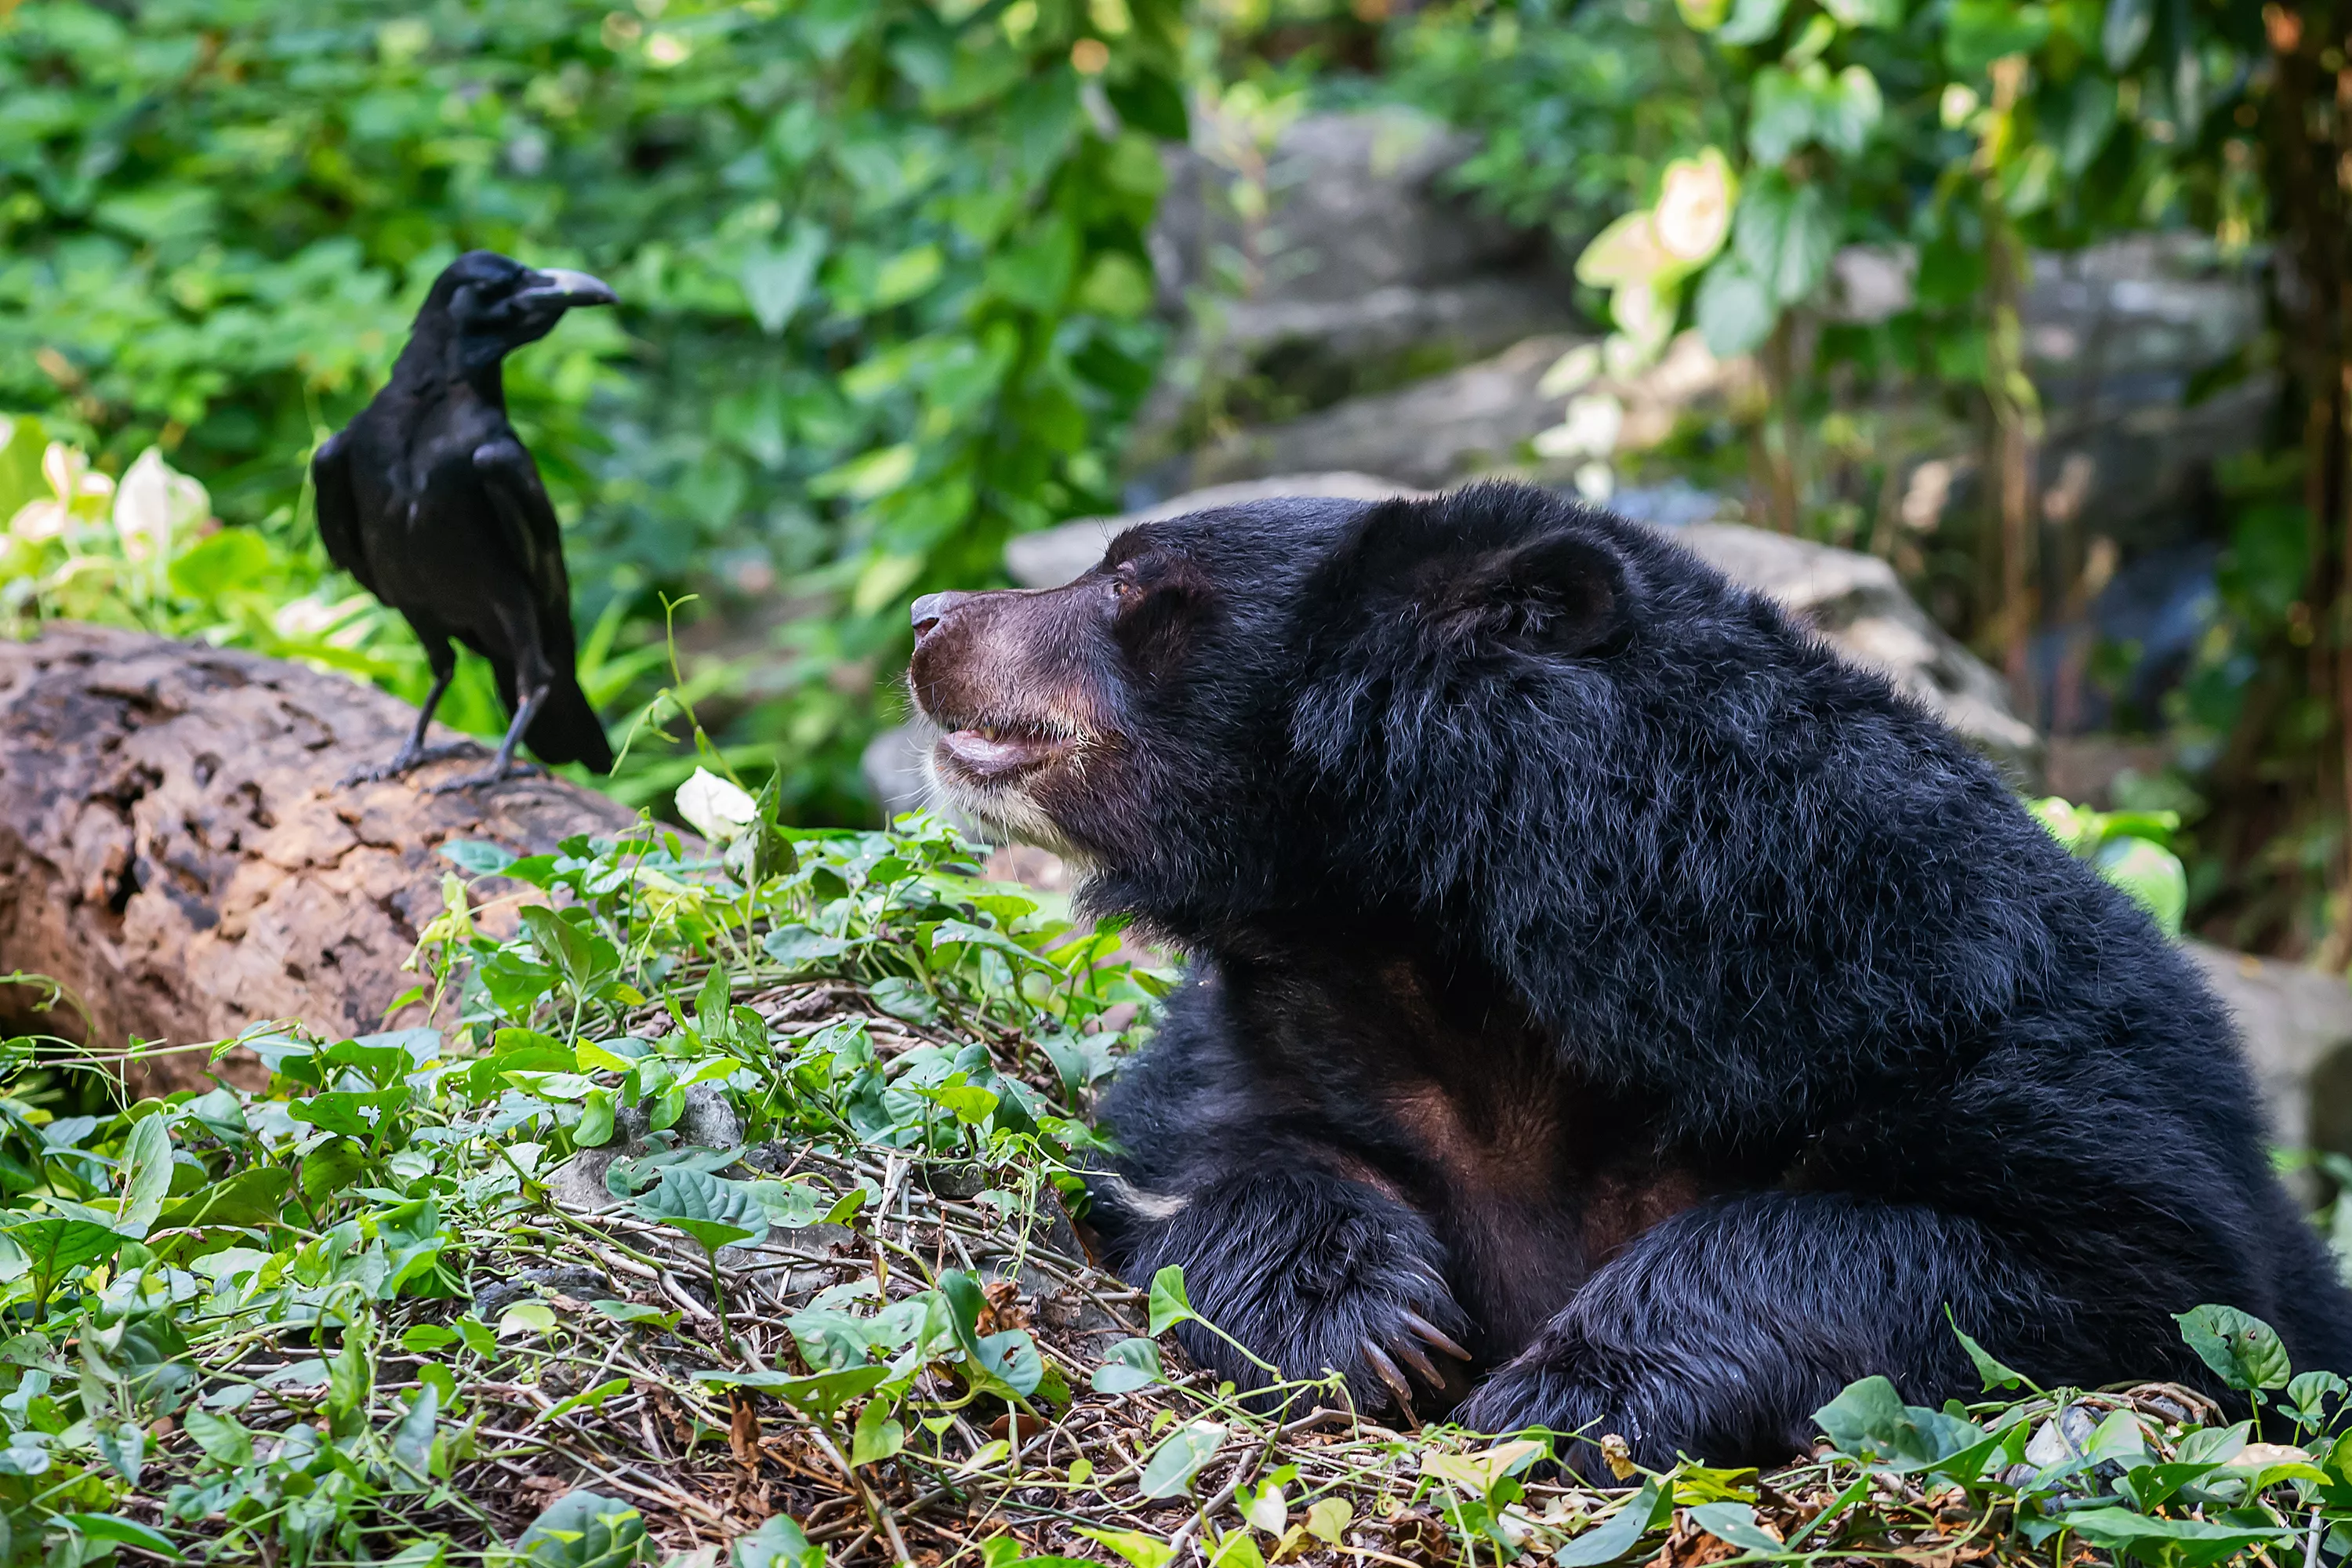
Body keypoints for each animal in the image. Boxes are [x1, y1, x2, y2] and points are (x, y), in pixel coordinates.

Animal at [905, 479, 2352, 1468]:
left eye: (1130, 583)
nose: (930, 618)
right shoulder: (1272, 1030)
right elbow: (1201, 1154)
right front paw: (1372, 1329)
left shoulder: (1946, 1007)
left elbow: (2113, 1264)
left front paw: (1566, 1390)